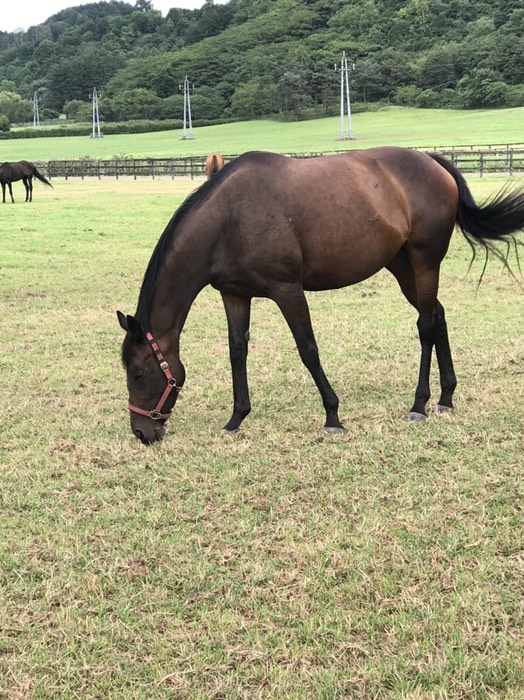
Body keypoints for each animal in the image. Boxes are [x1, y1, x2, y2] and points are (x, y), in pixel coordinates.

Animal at [117, 147, 524, 445]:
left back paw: (420, 404)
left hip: (425, 262)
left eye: (138, 373)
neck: (229, 220)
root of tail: (433, 162)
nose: (142, 432)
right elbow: (237, 351)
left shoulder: (287, 289)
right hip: (403, 267)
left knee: (425, 325)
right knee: (437, 316)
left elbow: (307, 349)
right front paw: (236, 418)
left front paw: (332, 415)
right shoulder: (234, 294)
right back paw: (446, 397)